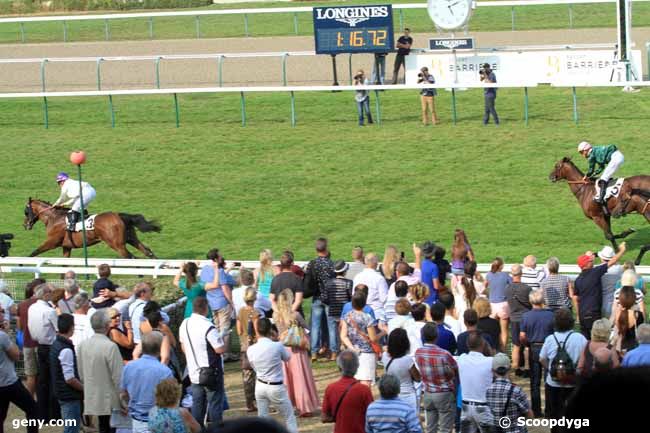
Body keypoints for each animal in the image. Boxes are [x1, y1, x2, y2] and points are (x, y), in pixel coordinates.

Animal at [24, 198, 161, 258]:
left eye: (25, 211)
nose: (25, 225)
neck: (54, 218)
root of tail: (120, 215)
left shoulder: (52, 242)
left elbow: (33, 253)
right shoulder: (66, 246)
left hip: (116, 244)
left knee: (130, 257)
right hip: (130, 238)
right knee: (147, 251)